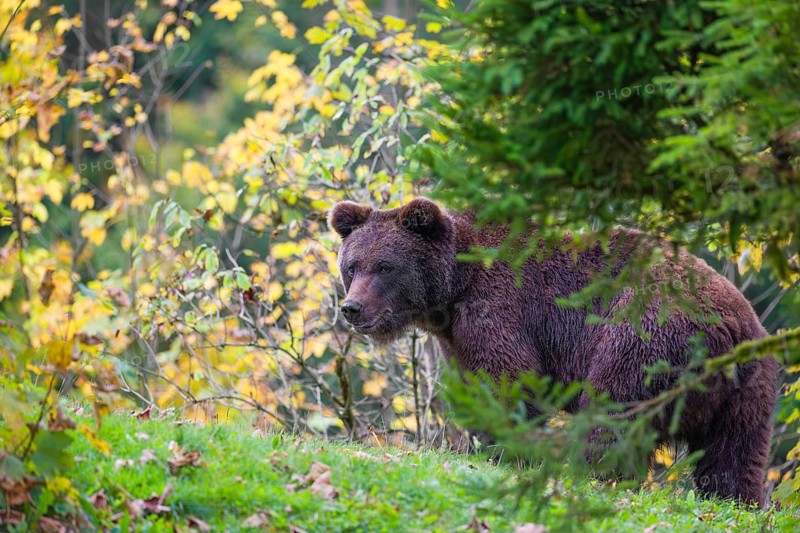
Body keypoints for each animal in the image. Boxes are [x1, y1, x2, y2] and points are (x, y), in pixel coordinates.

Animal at [328, 197, 779, 507]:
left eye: (385, 266)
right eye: (352, 265)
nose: (352, 308)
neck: (453, 290)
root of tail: (730, 324)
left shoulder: (501, 311)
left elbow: (509, 383)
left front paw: (505, 453)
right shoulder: (456, 338)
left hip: (644, 334)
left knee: (613, 408)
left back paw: (589, 471)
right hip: (749, 385)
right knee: (734, 453)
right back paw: (735, 497)